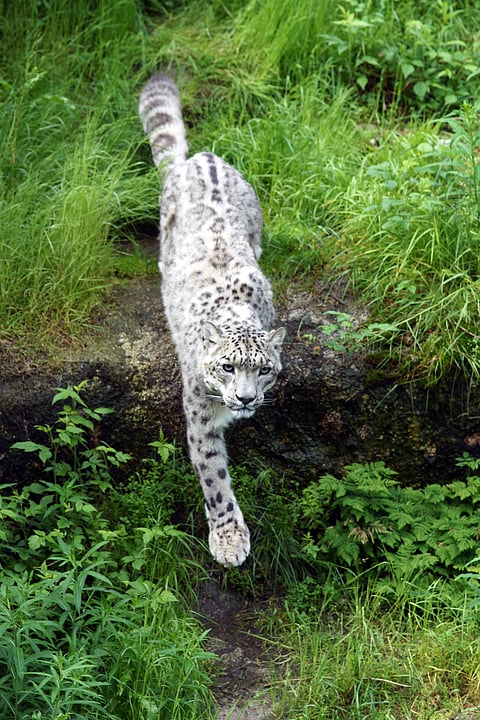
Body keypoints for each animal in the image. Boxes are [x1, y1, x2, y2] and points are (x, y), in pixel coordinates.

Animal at [139, 73, 285, 566]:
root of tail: (198, 158)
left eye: (264, 370)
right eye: (226, 366)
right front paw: (229, 540)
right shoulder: (198, 414)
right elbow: (214, 478)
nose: (244, 398)